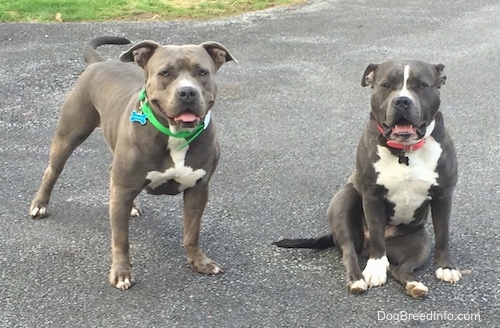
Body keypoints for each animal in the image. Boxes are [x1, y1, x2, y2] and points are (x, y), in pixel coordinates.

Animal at [29, 36, 236, 290]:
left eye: (202, 72)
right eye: (165, 73)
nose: (187, 92)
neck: (175, 134)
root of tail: (99, 62)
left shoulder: (198, 189)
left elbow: (192, 231)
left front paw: (199, 262)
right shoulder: (124, 187)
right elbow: (121, 238)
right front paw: (121, 273)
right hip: (69, 134)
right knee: (53, 170)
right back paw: (40, 205)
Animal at [276, 60, 462, 298]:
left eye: (421, 85)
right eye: (386, 85)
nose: (402, 101)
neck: (404, 150)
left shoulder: (443, 195)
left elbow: (443, 233)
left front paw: (446, 267)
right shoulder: (372, 196)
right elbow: (376, 234)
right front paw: (375, 269)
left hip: (420, 243)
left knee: (401, 269)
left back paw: (414, 285)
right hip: (344, 201)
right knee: (349, 253)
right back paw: (358, 279)